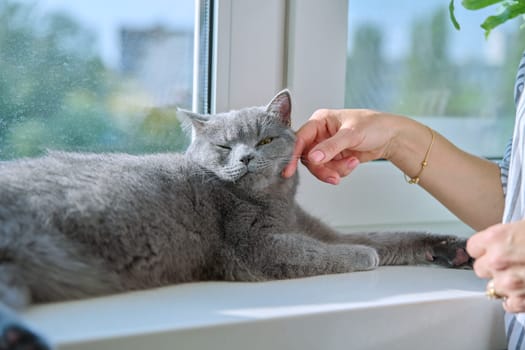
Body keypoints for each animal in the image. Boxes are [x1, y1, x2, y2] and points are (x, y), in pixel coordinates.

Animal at [0, 89, 468, 348]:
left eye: (263, 140)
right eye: (225, 147)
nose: (244, 157)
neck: (275, 204)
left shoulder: (313, 227)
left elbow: (389, 237)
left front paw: (453, 248)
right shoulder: (252, 249)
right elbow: (325, 251)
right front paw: (363, 255)